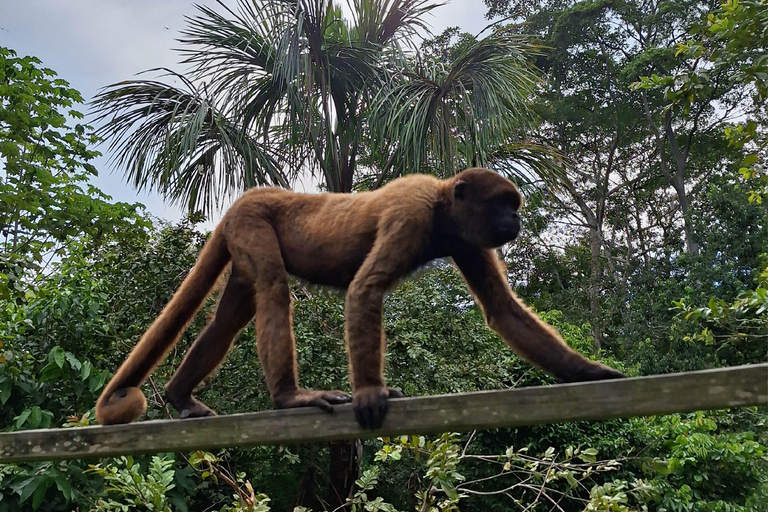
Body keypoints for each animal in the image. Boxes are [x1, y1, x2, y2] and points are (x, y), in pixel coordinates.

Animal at [96, 167, 624, 428]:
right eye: (503, 204)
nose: (516, 220)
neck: (441, 207)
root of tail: (240, 203)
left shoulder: (466, 239)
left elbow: (501, 310)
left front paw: (589, 372)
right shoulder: (411, 215)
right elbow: (364, 289)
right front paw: (371, 390)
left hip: (243, 242)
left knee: (233, 314)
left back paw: (180, 396)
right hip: (252, 225)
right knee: (273, 291)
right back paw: (289, 398)